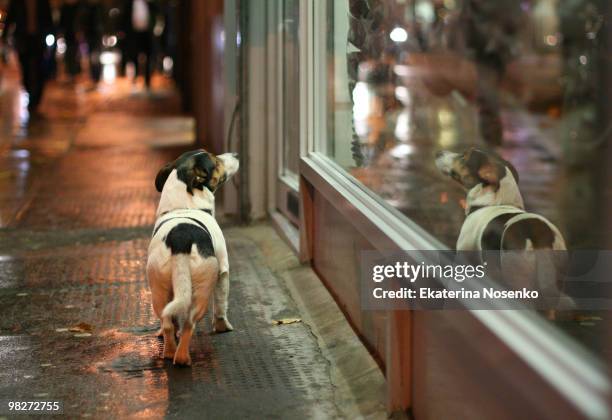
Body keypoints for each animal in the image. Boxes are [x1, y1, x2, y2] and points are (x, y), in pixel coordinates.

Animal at [147, 149, 238, 366]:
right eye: (216, 161)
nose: (235, 154)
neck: (184, 206)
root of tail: (180, 239)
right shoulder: (223, 270)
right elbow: (221, 304)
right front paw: (223, 326)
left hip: (159, 289)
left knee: (168, 321)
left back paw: (169, 351)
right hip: (203, 289)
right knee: (189, 323)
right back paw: (182, 357)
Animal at [432, 146, 572, 314]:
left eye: (464, 156)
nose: (438, 152)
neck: (494, 203)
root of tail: (540, 236)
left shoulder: (463, 258)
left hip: (518, 279)